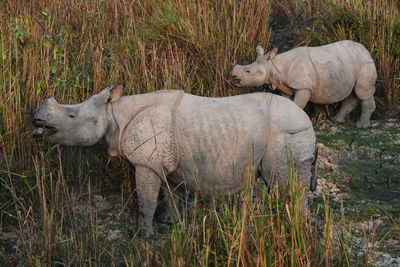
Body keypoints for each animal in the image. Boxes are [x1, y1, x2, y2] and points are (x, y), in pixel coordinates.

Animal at [32, 85, 318, 238]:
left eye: (71, 116)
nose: (36, 118)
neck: (113, 114)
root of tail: (307, 121)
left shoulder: (147, 163)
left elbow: (146, 199)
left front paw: (144, 235)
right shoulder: (168, 163)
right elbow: (171, 193)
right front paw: (170, 223)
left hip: (287, 133)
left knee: (286, 186)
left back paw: (295, 229)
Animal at [228, 40, 378, 129]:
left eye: (248, 71)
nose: (231, 78)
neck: (273, 66)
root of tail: (365, 49)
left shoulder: (304, 87)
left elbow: (298, 104)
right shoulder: (284, 87)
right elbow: (286, 103)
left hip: (365, 63)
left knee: (362, 92)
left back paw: (362, 126)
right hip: (346, 64)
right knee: (350, 93)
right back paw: (337, 121)